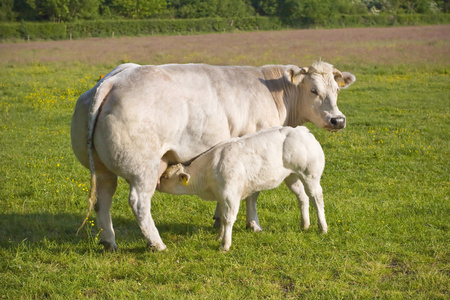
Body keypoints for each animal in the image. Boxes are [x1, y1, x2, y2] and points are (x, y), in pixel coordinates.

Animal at [158, 125, 326, 252]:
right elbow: (221, 217)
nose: (157, 183)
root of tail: (300, 129)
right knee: (302, 197)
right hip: (292, 177)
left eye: (165, 176)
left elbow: (228, 219)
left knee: (316, 197)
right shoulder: (221, 196)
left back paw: (322, 227)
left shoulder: (230, 196)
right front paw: (219, 237)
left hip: (310, 175)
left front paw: (224, 245)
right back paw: (305, 225)